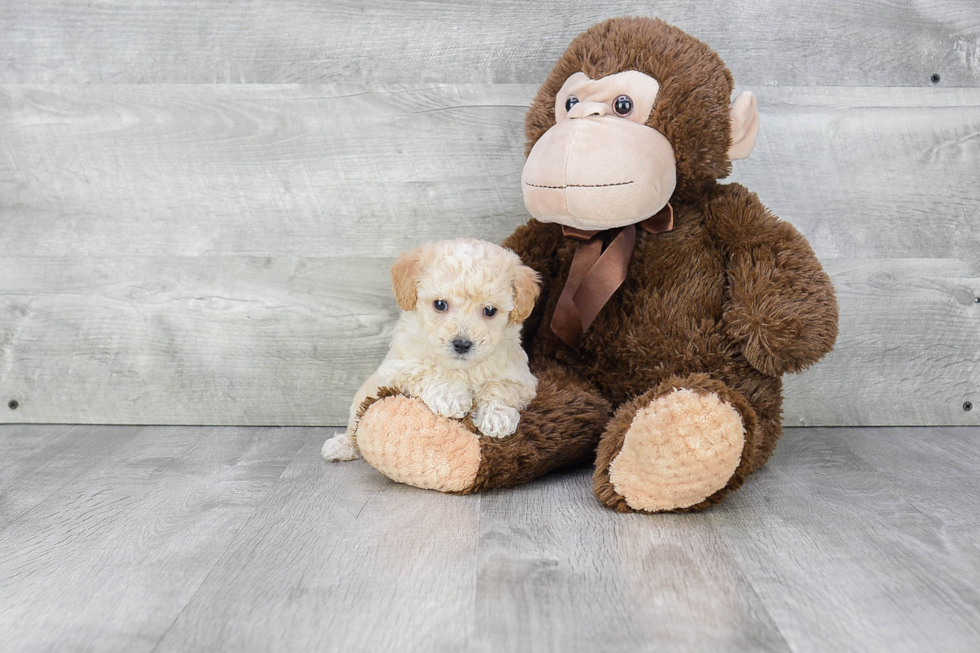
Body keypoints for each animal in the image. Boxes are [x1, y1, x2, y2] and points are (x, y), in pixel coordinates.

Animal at [322, 237, 540, 460]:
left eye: (489, 310)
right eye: (440, 304)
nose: (462, 344)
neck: (462, 369)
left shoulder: (522, 379)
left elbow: (500, 388)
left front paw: (497, 416)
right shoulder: (396, 369)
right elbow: (426, 371)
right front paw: (451, 396)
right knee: (355, 424)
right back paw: (341, 445)